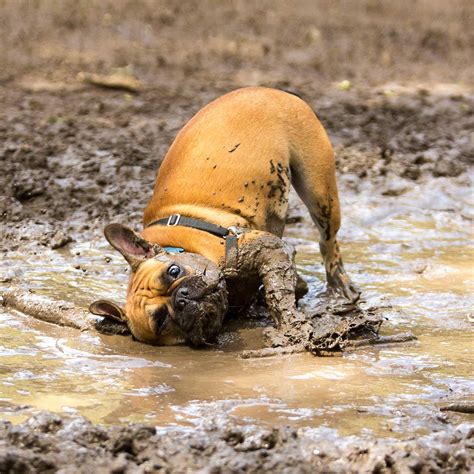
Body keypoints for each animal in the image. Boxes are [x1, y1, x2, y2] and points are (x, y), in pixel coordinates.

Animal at [90, 88, 360, 344]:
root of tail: (271, 91)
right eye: (161, 320)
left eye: (174, 271)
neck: (180, 246)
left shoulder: (267, 248)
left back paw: (340, 284)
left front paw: (291, 325)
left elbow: (278, 292)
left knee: (328, 239)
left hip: (319, 191)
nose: (181, 298)